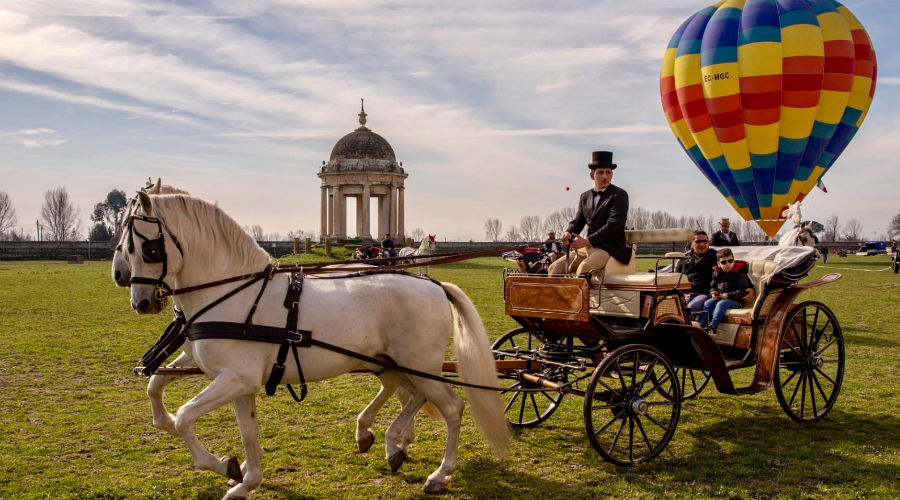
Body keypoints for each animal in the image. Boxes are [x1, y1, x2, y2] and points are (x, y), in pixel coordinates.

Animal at [118, 192, 506, 500]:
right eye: (123, 247)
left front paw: (222, 464)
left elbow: (185, 416)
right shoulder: (238, 383)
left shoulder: (235, 379)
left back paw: (438, 473)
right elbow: (243, 433)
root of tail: (433, 284)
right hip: (393, 363)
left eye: (147, 248)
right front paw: (246, 480)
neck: (234, 294)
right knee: (409, 394)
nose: (141, 301)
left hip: (420, 366)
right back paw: (387, 440)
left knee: (451, 408)